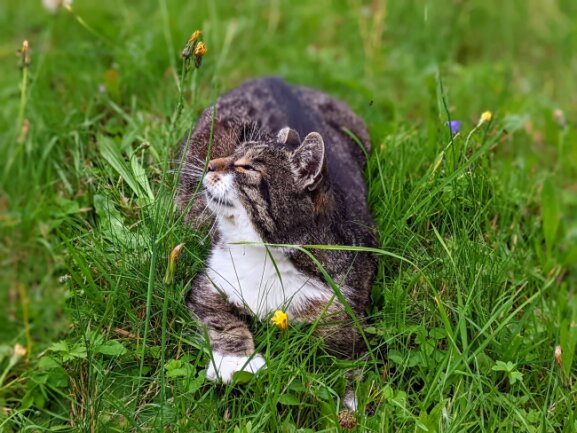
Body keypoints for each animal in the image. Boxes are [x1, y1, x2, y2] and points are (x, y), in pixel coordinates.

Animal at [180, 76, 378, 384]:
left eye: (247, 167)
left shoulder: (342, 305)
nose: (210, 164)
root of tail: (273, 78)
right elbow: (222, 319)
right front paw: (234, 362)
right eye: (232, 153)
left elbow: (348, 362)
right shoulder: (211, 283)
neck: (262, 252)